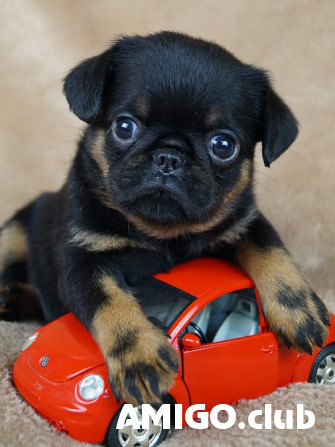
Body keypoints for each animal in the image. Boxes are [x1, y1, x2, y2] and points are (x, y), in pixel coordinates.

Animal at [0, 31, 330, 406]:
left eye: (223, 145)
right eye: (124, 126)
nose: (169, 157)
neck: (165, 233)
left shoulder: (245, 222)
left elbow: (272, 251)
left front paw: (298, 307)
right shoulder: (83, 259)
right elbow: (110, 304)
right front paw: (139, 356)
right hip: (12, 235)